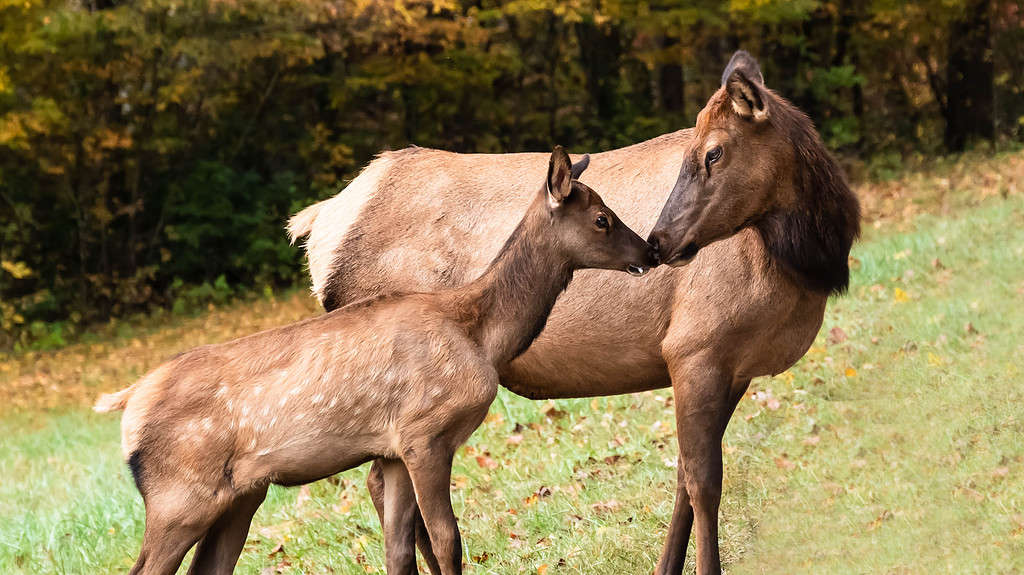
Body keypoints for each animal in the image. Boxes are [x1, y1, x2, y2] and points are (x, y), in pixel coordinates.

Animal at [292, 51, 860, 568]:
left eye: (714, 153)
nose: (660, 242)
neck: (805, 263)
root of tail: (317, 227)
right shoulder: (695, 346)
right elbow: (704, 483)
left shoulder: (735, 366)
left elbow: (682, 476)